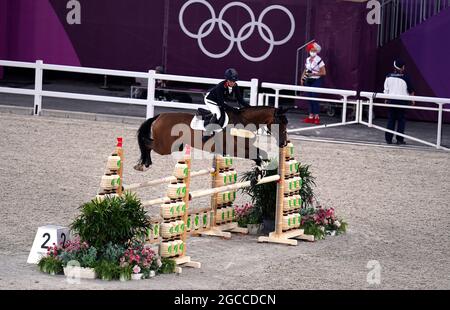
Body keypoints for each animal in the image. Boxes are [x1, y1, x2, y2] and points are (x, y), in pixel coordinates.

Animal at [134, 105, 288, 176]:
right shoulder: (235, 149)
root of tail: (160, 116)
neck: (244, 123)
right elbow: (257, 156)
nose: (283, 143)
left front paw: (261, 172)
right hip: (164, 147)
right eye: (280, 123)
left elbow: (262, 155)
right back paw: (143, 164)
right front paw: (258, 173)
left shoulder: (246, 147)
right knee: (146, 143)